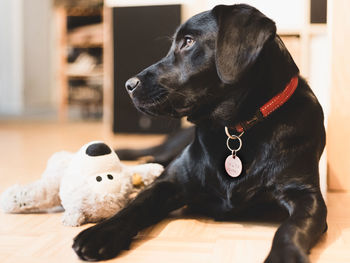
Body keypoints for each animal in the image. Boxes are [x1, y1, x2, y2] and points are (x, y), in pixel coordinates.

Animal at [72, 4, 326, 263]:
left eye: (188, 41)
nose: (128, 85)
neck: (235, 130)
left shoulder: (307, 195)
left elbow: (292, 227)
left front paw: (284, 255)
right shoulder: (170, 182)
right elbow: (135, 206)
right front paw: (101, 232)